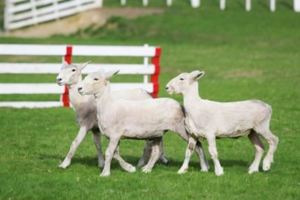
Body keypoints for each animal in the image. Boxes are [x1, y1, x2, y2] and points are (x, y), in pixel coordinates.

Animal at [77, 70, 209, 177]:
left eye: (96, 79)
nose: (79, 89)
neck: (108, 105)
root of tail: (179, 105)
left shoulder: (115, 134)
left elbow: (109, 153)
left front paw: (105, 173)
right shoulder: (114, 136)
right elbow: (115, 154)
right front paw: (129, 168)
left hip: (181, 128)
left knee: (197, 145)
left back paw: (204, 168)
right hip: (157, 133)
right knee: (156, 152)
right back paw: (147, 169)